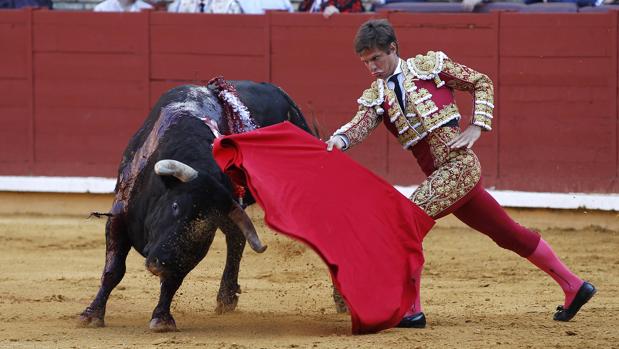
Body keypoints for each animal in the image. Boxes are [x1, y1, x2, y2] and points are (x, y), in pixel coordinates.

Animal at [78, 81, 314, 332]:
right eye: (174, 206)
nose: (161, 264)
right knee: (236, 239)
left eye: (206, 226)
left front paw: (162, 319)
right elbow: (113, 270)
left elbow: (173, 280)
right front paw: (91, 315)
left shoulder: (190, 249)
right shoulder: (119, 217)